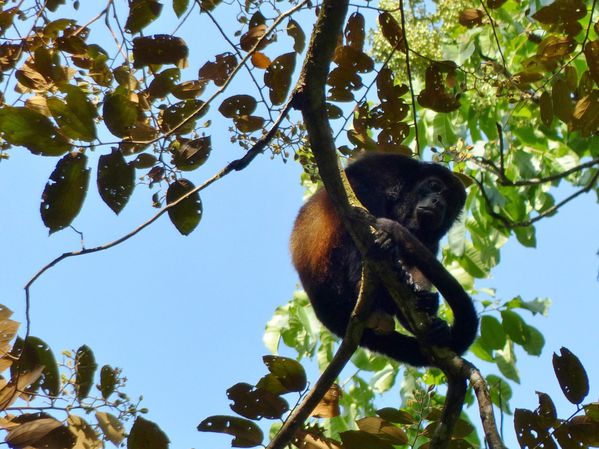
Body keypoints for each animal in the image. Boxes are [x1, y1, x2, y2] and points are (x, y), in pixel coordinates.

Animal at [290, 152, 478, 366]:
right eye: (434, 186)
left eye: (450, 199)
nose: (438, 201)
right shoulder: (388, 164)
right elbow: (356, 184)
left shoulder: (432, 241)